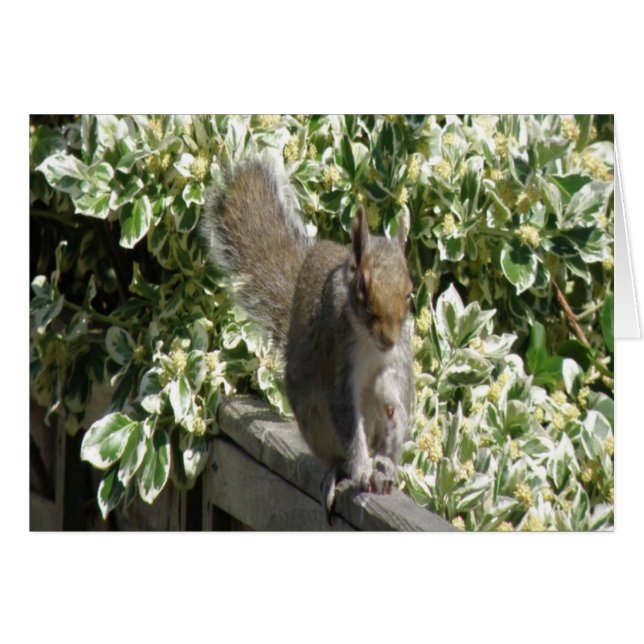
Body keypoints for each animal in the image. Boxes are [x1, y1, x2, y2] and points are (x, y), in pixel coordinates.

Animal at [201, 155, 415, 520]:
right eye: (362, 288)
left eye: (410, 293)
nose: (387, 338)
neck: (370, 344)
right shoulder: (336, 360)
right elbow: (346, 417)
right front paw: (361, 470)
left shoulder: (397, 357)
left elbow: (397, 395)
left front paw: (392, 432)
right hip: (313, 415)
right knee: (338, 453)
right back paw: (344, 470)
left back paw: (383, 463)